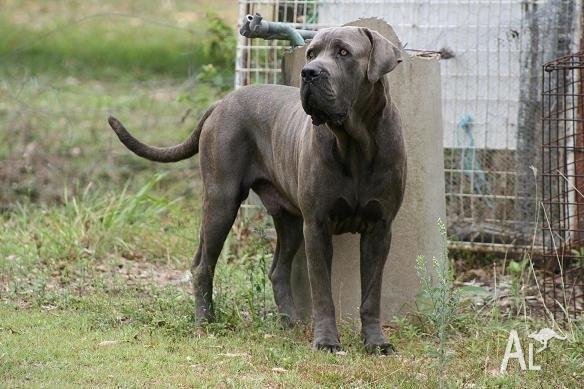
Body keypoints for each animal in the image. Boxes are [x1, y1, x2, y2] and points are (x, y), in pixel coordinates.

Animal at [107, 25, 406, 352]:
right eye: (311, 53)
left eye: (344, 53)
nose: (309, 73)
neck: (355, 144)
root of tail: (222, 102)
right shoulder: (317, 226)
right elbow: (323, 292)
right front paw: (327, 342)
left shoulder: (380, 229)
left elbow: (372, 294)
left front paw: (376, 342)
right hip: (221, 202)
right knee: (202, 264)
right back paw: (206, 320)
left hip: (290, 220)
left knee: (277, 270)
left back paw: (290, 322)